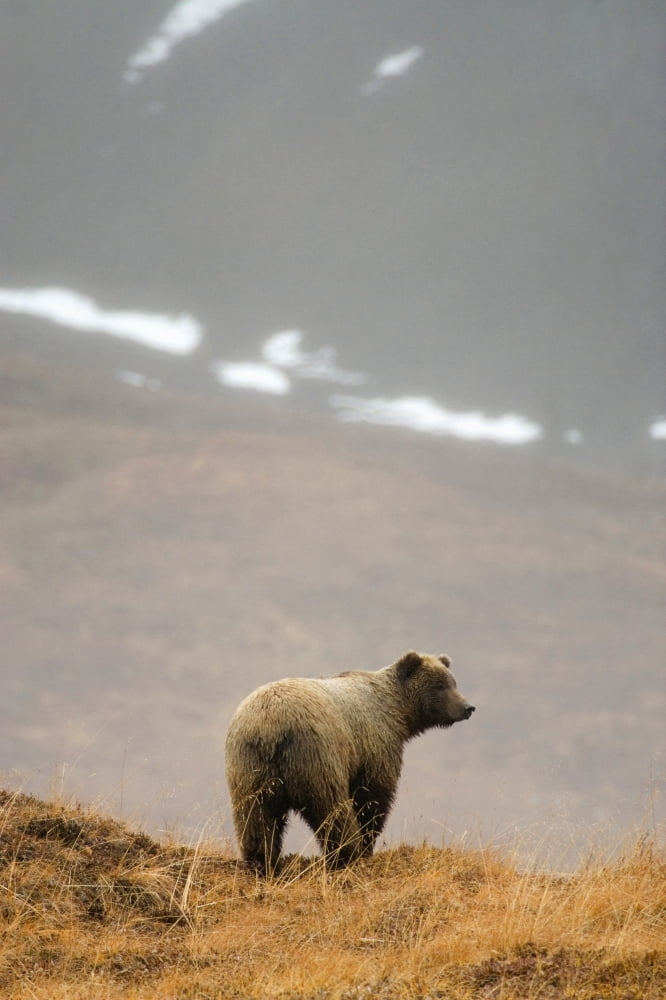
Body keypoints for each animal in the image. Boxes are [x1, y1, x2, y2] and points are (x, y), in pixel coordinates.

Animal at [225, 650, 475, 874]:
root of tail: (270, 727)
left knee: (255, 816)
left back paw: (261, 862)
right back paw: (346, 854)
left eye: (453, 682)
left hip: (250, 767)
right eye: (440, 685)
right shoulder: (374, 747)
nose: (467, 707)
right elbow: (372, 797)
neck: (398, 714)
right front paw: (367, 844)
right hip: (316, 755)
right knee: (331, 808)